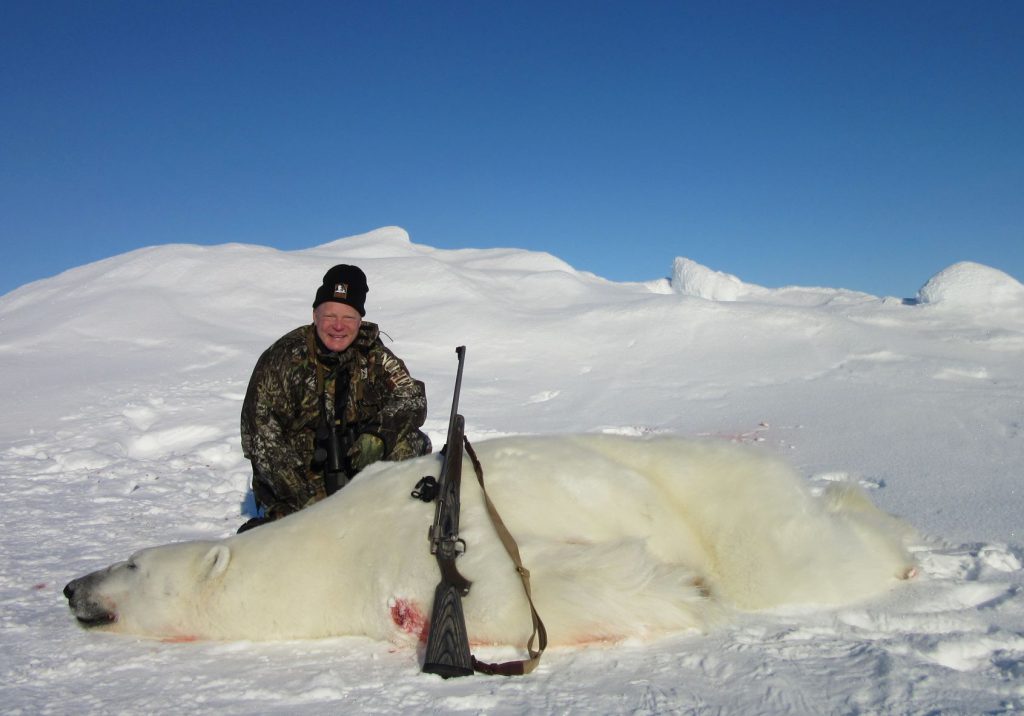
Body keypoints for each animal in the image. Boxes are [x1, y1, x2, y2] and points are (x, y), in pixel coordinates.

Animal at [64, 434, 913, 647]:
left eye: (133, 562)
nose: (72, 585)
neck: (325, 552)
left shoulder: (418, 556)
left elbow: (515, 592)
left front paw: (683, 589)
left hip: (727, 507)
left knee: (800, 560)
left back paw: (889, 534)